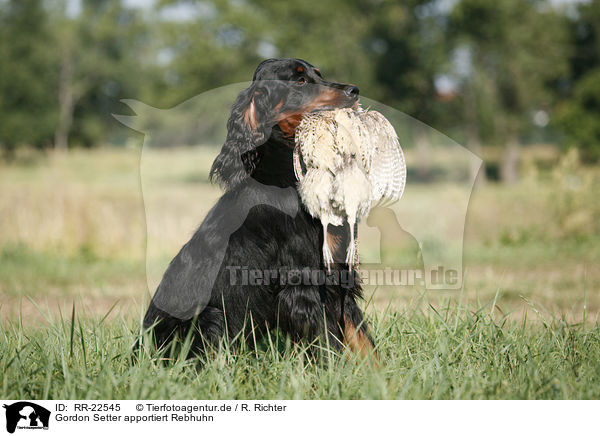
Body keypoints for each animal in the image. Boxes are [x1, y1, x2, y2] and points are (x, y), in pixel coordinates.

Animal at [142, 58, 376, 358]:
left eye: (319, 74)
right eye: (299, 81)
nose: (353, 90)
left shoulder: (339, 273)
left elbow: (364, 342)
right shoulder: (302, 281)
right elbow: (326, 345)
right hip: (209, 317)